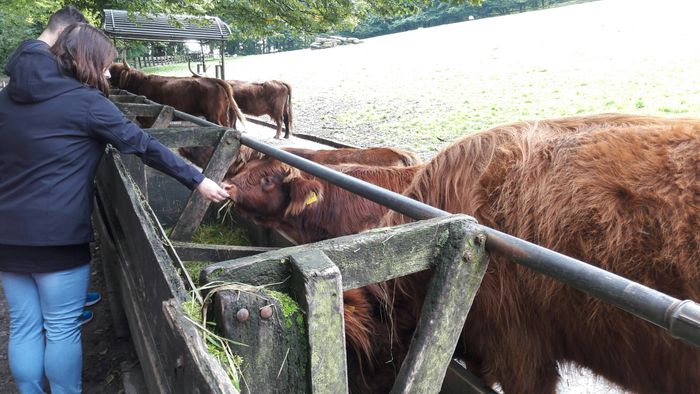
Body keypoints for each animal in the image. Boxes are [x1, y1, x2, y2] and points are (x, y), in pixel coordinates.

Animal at [108, 64, 246, 129]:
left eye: (114, 73)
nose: (107, 80)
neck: (140, 82)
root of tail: (212, 79)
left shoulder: (148, 120)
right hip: (223, 115)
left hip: (214, 116)